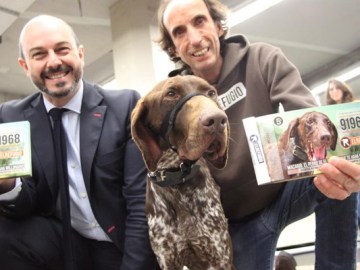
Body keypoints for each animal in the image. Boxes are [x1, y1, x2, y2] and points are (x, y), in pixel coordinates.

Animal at [131, 74, 235, 270]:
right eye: (171, 94)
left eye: (211, 93)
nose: (218, 120)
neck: (176, 176)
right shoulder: (167, 258)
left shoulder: (219, 255)